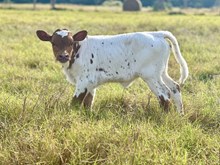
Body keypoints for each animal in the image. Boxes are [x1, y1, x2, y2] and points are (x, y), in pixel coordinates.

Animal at [36, 29, 189, 115]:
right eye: (53, 42)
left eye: (71, 42)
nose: (63, 56)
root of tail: (157, 34)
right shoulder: (90, 84)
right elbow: (88, 103)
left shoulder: (84, 81)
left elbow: (75, 102)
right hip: (162, 72)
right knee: (175, 88)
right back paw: (180, 115)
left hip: (151, 76)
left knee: (164, 95)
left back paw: (165, 118)